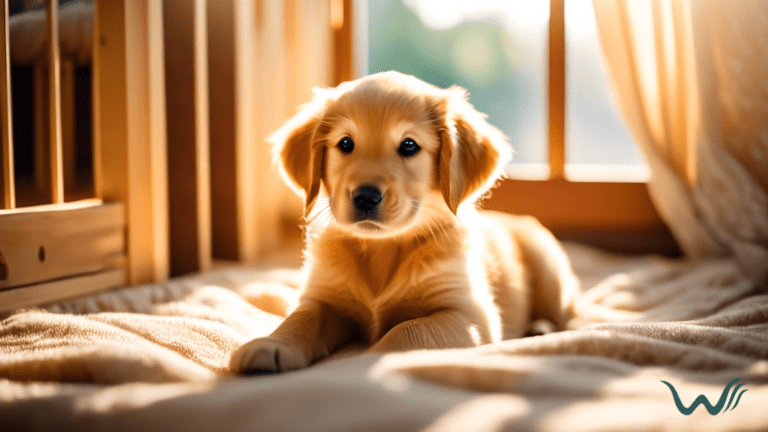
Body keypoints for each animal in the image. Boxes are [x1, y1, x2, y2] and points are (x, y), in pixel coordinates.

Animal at [231, 71, 580, 374]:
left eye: (409, 145)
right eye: (345, 144)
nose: (365, 197)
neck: (382, 250)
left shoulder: (469, 315)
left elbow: (407, 330)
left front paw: (359, 361)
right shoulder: (324, 297)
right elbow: (302, 318)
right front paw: (274, 344)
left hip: (549, 269)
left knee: (571, 315)